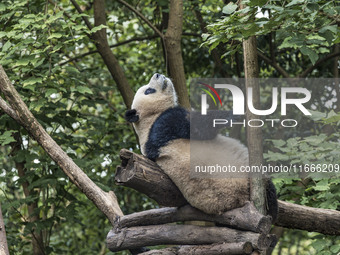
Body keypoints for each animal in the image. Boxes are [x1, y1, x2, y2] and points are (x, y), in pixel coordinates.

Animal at [125, 72, 276, 218]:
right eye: (148, 91)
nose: (157, 74)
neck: (148, 119)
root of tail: (240, 198)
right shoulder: (165, 123)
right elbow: (199, 127)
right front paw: (235, 113)